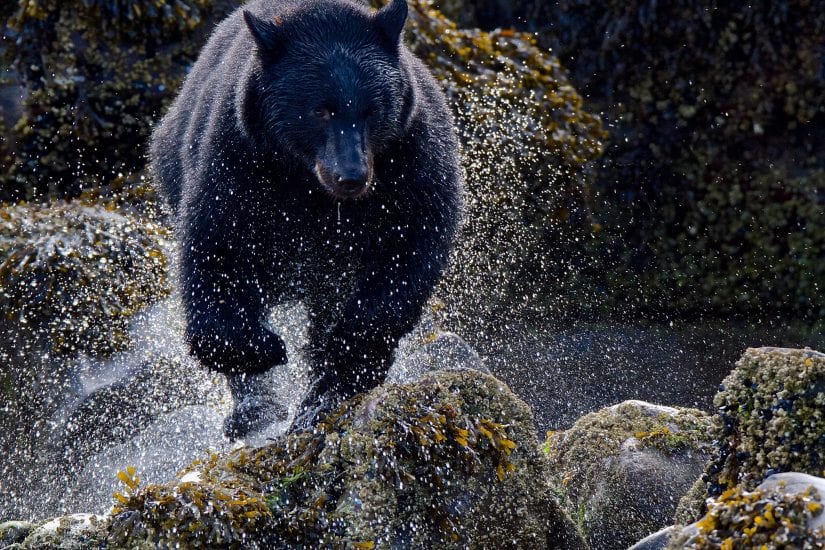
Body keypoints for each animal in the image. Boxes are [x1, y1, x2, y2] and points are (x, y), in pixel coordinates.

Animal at [150, 0, 464, 440]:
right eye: (321, 110)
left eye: (371, 110)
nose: (351, 176)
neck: (312, 189)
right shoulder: (237, 162)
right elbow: (217, 251)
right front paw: (263, 351)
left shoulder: (413, 160)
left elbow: (411, 248)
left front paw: (345, 350)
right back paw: (256, 410)